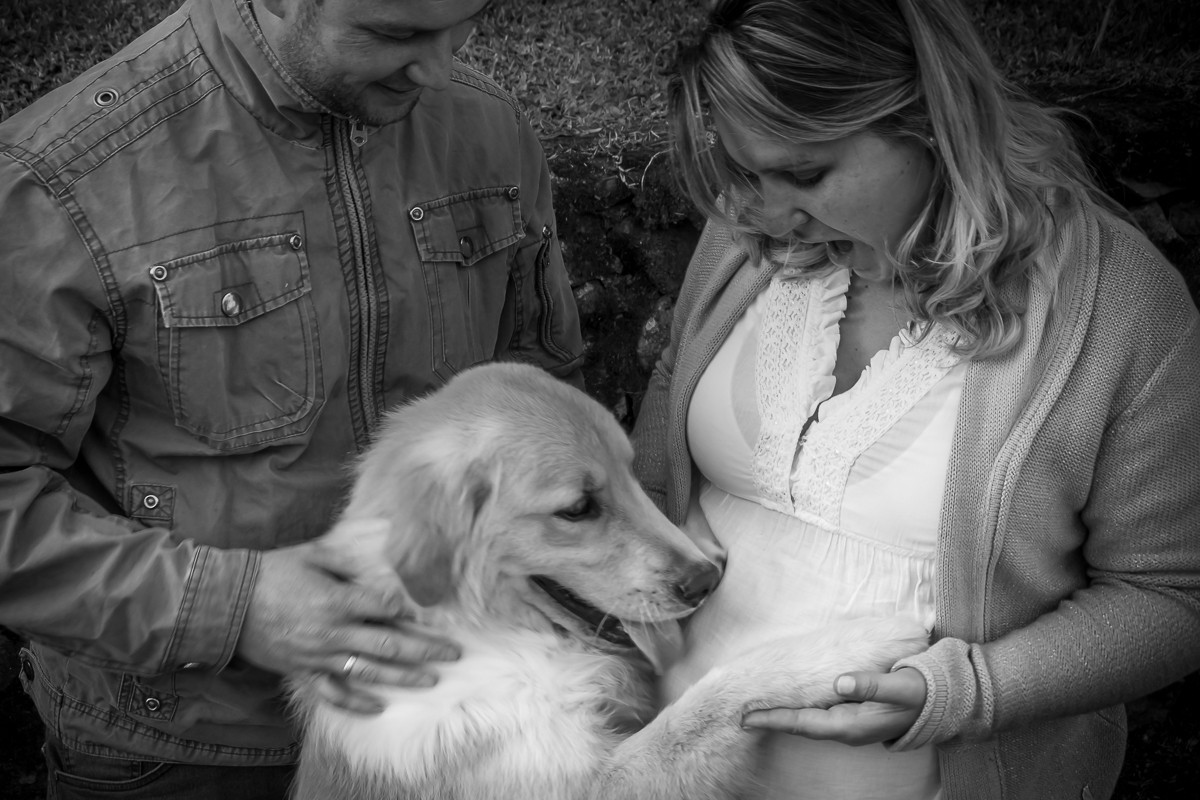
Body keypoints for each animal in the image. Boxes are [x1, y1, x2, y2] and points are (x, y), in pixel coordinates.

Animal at [289, 362, 927, 800]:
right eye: (577, 508)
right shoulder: (594, 783)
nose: (705, 581)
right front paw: (855, 644)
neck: (491, 635)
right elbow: (711, 697)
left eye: (630, 471)